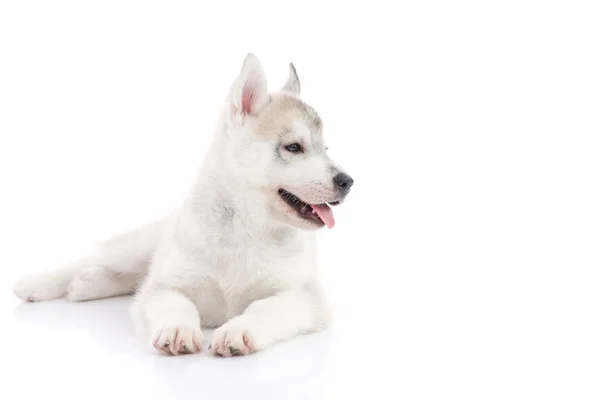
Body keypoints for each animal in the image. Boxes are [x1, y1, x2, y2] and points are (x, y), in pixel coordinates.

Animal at [12, 53, 352, 356]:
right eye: (294, 147)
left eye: (325, 149)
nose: (347, 181)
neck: (245, 229)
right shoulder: (164, 287)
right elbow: (175, 302)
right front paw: (178, 329)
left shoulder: (305, 296)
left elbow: (267, 307)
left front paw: (240, 329)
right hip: (137, 247)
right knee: (98, 261)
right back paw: (39, 283)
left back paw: (87, 284)